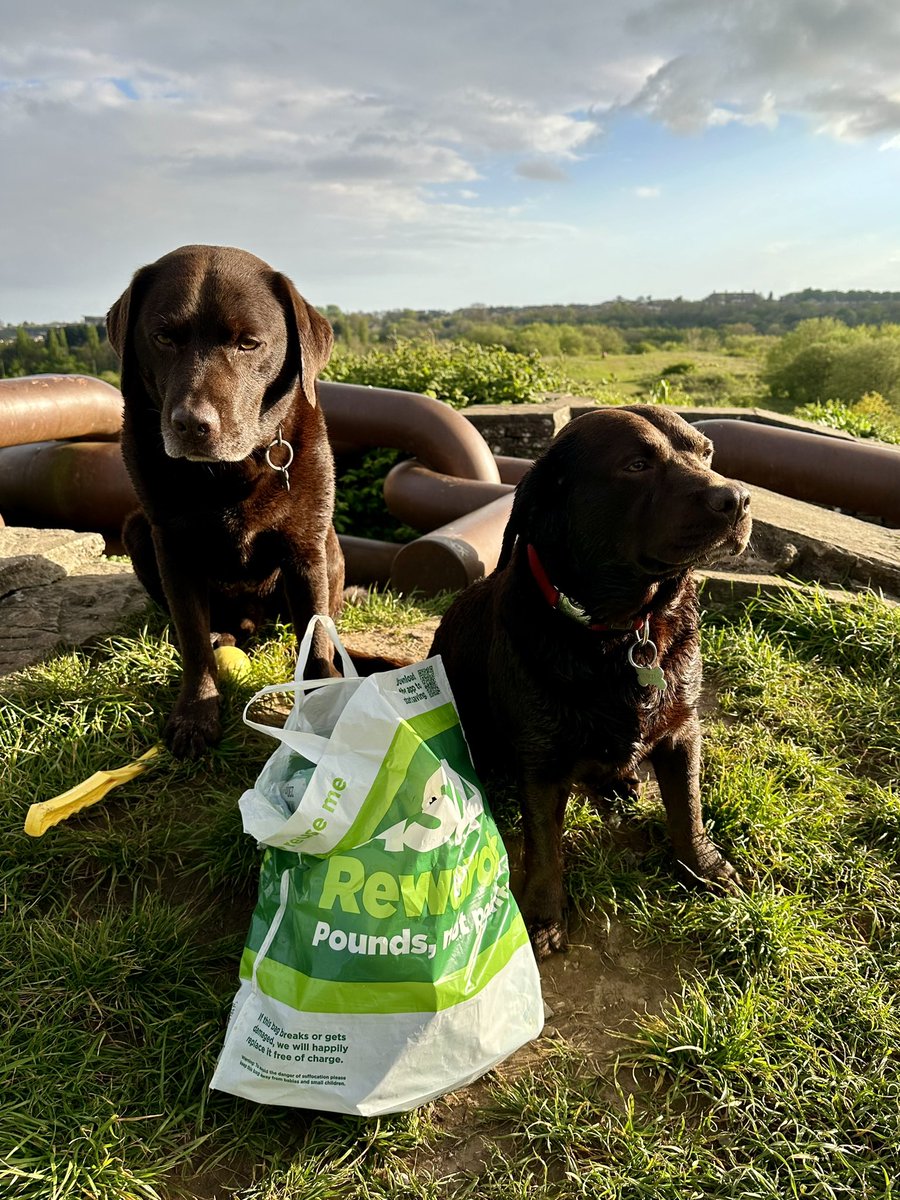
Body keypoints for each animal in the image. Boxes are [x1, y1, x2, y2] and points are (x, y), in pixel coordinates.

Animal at [106, 243, 345, 758]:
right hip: (136, 530)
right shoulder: (172, 548)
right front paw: (197, 714)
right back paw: (225, 633)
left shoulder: (304, 548)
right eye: (164, 337)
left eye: (248, 343)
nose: (192, 425)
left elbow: (316, 636)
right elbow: (193, 642)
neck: (227, 474)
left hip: (330, 544)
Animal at [432, 403, 753, 955]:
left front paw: (704, 868)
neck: (622, 632)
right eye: (636, 465)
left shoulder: (683, 731)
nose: (737, 498)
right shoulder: (540, 761)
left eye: (707, 452)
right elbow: (545, 848)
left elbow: (687, 808)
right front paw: (542, 916)